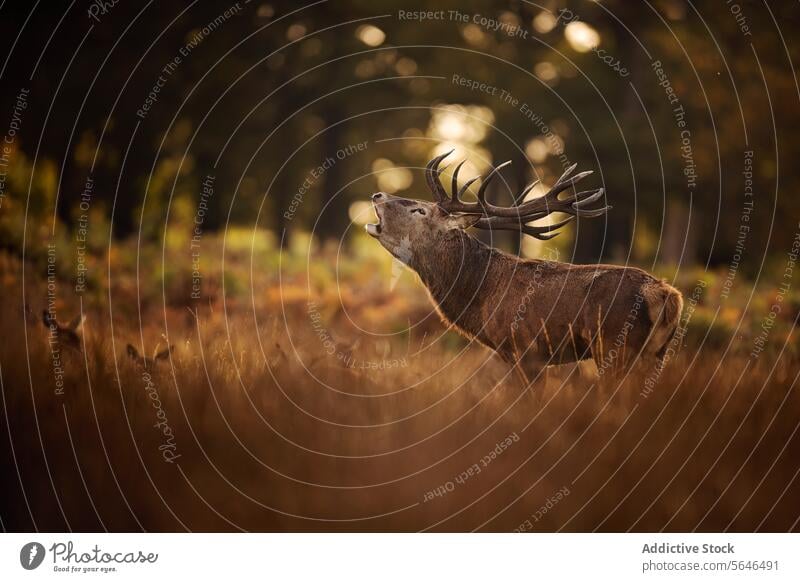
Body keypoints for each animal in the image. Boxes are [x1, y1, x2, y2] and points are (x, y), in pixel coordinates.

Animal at [366, 153, 684, 386]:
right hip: (657, 353)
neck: (482, 296)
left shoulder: (527, 350)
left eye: (419, 210)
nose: (377, 195)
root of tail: (667, 295)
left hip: (614, 345)